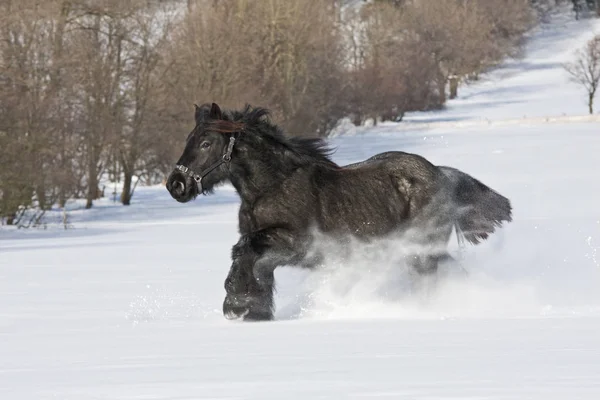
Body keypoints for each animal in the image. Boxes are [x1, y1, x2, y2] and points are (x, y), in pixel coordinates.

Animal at [165, 103, 510, 322]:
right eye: (189, 140)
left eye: (206, 142)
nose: (176, 184)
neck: (273, 185)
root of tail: (440, 174)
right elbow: (245, 256)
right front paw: (251, 309)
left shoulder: (297, 246)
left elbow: (247, 251)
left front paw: (239, 304)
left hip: (421, 250)